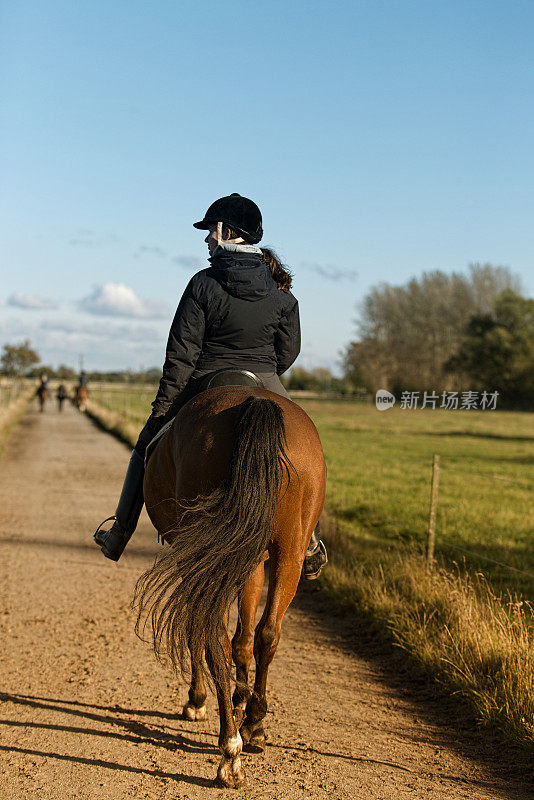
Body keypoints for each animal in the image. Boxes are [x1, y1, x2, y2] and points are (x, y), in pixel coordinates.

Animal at [134, 388, 326, 788]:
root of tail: (253, 399)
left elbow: (206, 635)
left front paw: (198, 700)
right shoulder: (248, 559)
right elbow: (245, 640)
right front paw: (243, 703)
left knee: (214, 636)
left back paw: (230, 749)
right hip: (288, 554)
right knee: (267, 633)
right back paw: (250, 726)